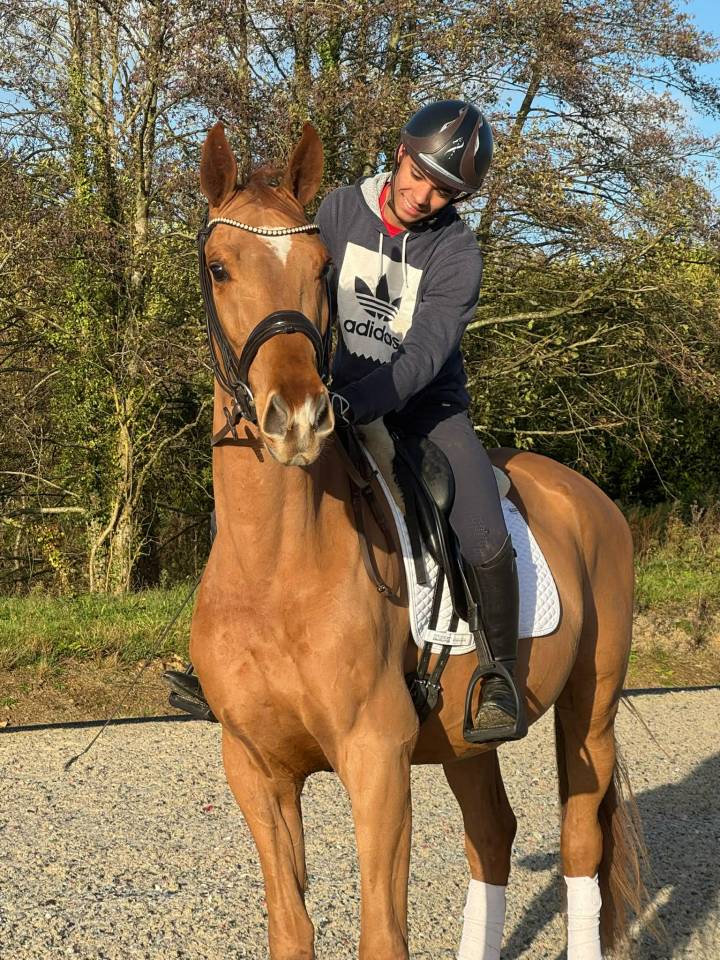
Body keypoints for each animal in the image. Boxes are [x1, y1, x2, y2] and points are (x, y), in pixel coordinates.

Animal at [189, 120, 648, 960]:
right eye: (220, 267)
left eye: (320, 269)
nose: (298, 418)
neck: (276, 568)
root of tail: (588, 497)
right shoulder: (256, 770)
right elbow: (290, 929)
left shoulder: (375, 759)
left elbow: (382, 933)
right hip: (468, 741)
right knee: (492, 835)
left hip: (589, 711)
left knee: (579, 845)